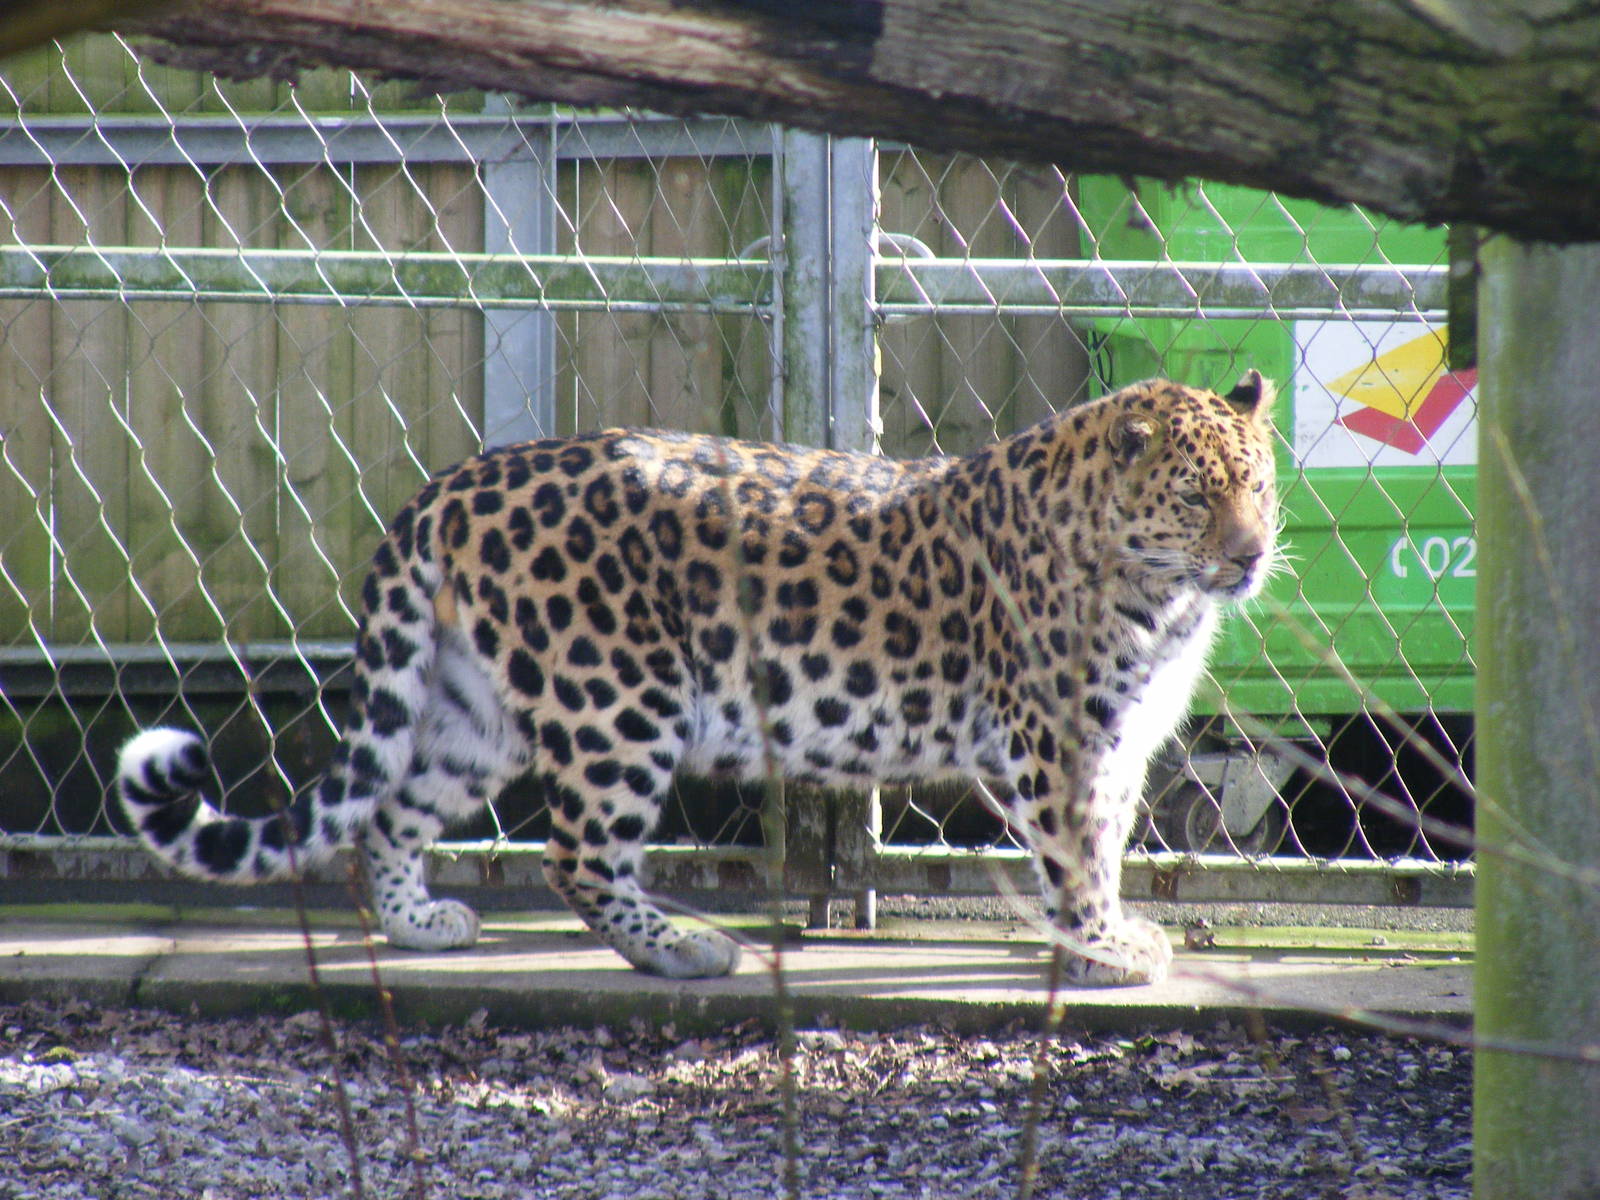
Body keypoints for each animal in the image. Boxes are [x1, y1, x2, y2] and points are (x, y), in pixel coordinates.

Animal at [116, 371, 1278, 986]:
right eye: (1196, 496)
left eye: (1259, 486)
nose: (1253, 554)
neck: (1166, 596)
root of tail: (451, 482)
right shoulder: (1056, 736)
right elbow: (1075, 845)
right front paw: (1103, 947)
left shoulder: (1120, 736)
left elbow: (1110, 840)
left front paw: (1105, 934)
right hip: (619, 699)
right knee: (577, 854)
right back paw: (682, 947)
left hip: (476, 710)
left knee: (394, 812)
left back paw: (418, 923)